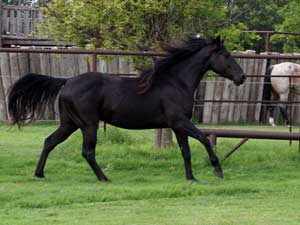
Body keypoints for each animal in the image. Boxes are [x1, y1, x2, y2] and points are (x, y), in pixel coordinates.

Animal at [8, 36, 246, 182]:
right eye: (226, 55)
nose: (242, 77)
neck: (176, 82)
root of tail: (66, 81)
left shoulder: (178, 126)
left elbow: (185, 151)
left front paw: (192, 178)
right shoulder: (180, 122)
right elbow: (204, 139)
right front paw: (217, 170)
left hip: (70, 124)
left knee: (49, 141)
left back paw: (39, 174)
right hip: (88, 124)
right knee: (87, 151)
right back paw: (104, 178)